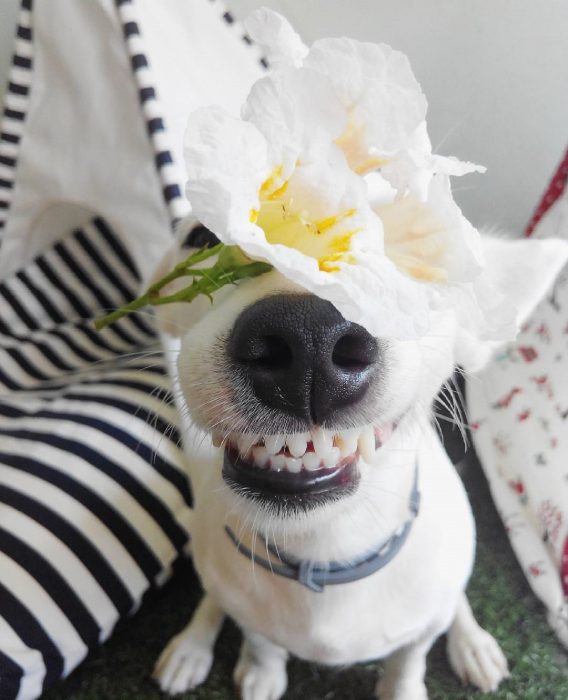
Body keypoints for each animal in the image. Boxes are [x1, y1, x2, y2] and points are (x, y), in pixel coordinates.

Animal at [150, 216, 564, 696]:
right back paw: (192, 645)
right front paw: (262, 671)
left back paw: (472, 643)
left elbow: (409, 659)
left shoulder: (421, 627)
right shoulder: (248, 608)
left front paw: (403, 688)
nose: (307, 334)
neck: (324, 547)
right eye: (203, 238)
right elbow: (261, 640)